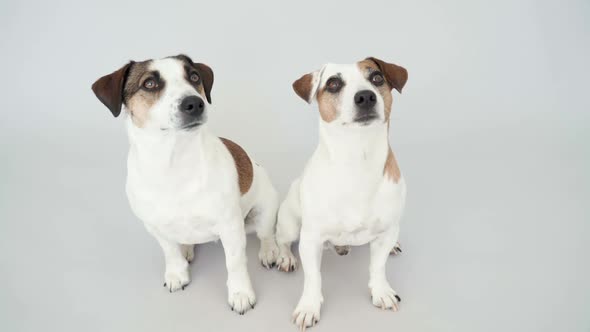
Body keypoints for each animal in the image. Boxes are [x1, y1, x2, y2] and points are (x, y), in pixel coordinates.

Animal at [92, 53, 282, 314]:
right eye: (149, 83)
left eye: (193, 77)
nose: (194, 103)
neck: (174, 162)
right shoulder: (154, 226)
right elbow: (170, 252)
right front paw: (177, 273)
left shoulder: (230, 226)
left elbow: (234, 262)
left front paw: (240, 293)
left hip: (263, 210)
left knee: (265, 234)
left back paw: (269, 250)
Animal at [276, 55, 408, 328]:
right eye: (333, 84)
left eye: (377, 78)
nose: (366, 96)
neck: (358, 158)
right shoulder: (311, 239)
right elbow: (313, 277)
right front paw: (309, 306)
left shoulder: (387, 230)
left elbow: (378, 267)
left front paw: (381, 291)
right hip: (291, 223)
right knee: (282, 240)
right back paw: (285, 257)